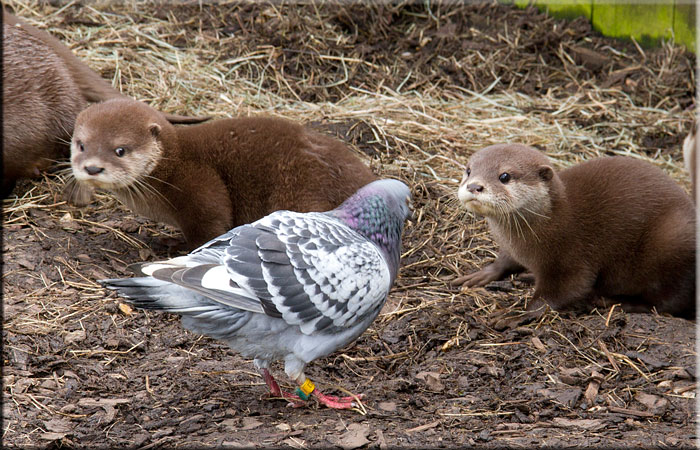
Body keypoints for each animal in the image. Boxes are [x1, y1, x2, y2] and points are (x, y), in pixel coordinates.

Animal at [69, 98, 378, 249]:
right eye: (81, 144)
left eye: (120, 150)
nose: (93, 167)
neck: (170, 168)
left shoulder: (199, 186)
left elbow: (210, 226)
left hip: (301, 188)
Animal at [455, 143, 696, 319]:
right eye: (468, 171)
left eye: (504, 176)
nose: (474, 186)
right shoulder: (512, 248)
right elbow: (505, 260)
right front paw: (483, 274)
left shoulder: (570, 255)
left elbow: (563, 291)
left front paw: (516, 315)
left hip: (672, 240)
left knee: (667, 302)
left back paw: (614, 302)